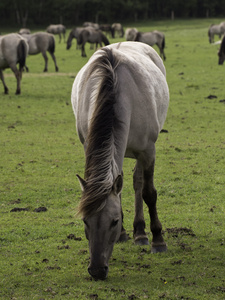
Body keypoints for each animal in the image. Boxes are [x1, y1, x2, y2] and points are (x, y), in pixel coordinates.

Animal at [71, 41, 169, 280]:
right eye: (85, 221)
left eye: (113, 221)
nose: (97, 270)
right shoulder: (89, 147)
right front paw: (125, 232)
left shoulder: (148, 151)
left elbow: (148, 193)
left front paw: (158, 239)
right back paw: (131, 233)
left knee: (138, 183)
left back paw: (141, 233)